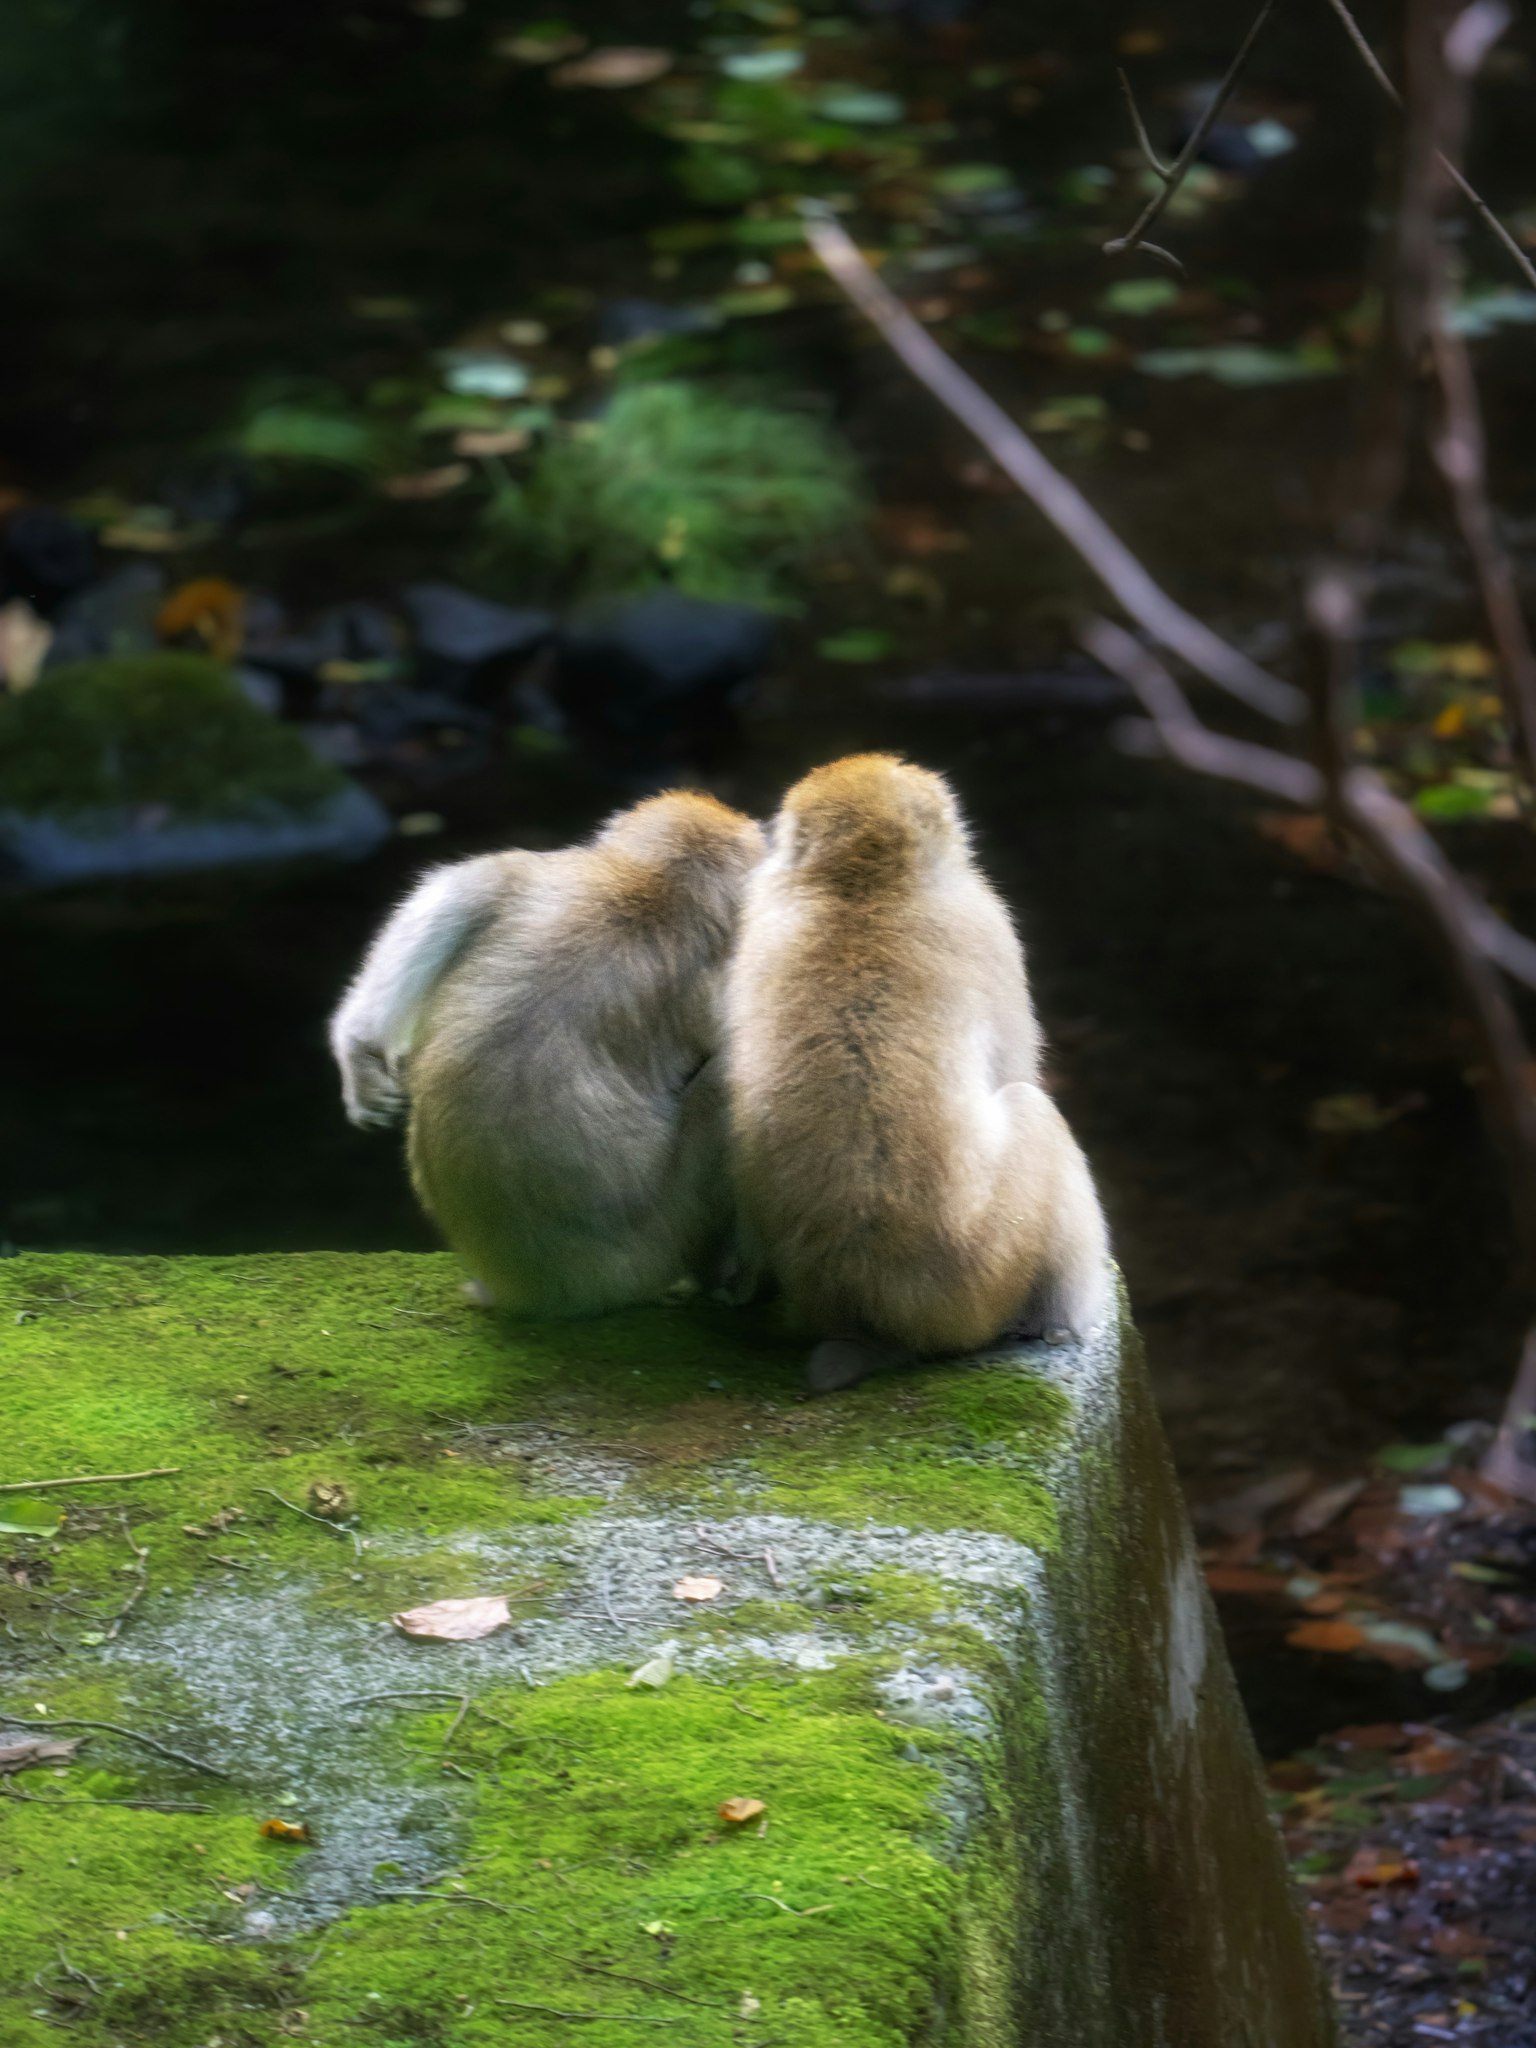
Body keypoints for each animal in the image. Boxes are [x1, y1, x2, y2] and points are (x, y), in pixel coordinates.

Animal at [329, 792, 765, 1316]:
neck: (656, 892)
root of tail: (526, 1286)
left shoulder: (528, 876)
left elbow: (452, 895)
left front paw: (361, 1067)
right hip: (659, 1240)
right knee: (729, 1081)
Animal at [723, 753, 1110, 1390]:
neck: (861, 884)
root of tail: (875, 1309)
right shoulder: (989, 922)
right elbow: (1017, 1065)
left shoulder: (759, 921)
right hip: (988, 1273)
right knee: (1031, 1106)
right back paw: (1061, 1321)